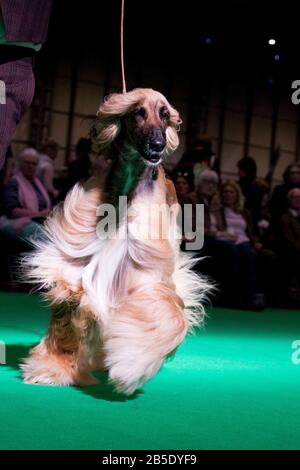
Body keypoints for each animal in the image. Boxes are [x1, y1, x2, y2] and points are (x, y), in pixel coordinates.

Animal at [21, 87, 210, 392]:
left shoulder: (148, 271)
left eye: (164, 114)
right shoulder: (78, 266)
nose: (158, 145)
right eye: (138, 113)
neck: (127, 190)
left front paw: (131, 363)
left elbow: (166, 312)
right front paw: (54, 367)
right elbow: (69, 309)